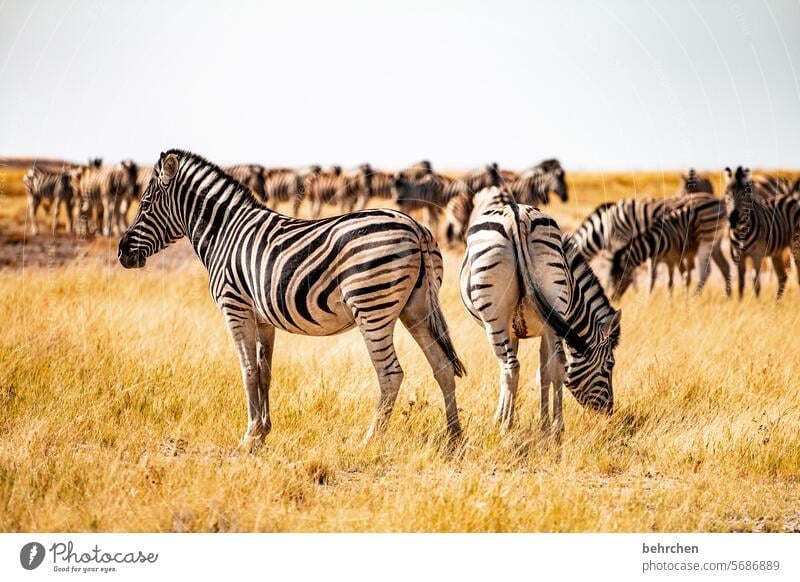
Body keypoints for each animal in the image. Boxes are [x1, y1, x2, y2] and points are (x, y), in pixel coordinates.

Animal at [119, 149, 468, 448]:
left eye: (145, 205)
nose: (122, 253)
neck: (224, 234)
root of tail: (416, 227)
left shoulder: (235, 308)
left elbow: (247, 371)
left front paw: (248, 437)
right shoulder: (262, 319)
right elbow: (264, 373)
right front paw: (262, 434)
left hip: (372, 307)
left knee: (391, 373)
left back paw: (370, 441)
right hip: (417, 308)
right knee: (441, 366)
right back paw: (453, 438)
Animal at [460, 186, 620, 434]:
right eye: (609, 365)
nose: (609, 410)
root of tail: (517, 218)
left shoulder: (516, 328)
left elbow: (511, 372)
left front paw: (502, 417)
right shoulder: (546, 327)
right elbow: (544, 373)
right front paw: (543, 422)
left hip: (495, 315)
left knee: (511, 367)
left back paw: (506, 427)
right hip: (551, 299)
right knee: (557, 364)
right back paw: (556, 427)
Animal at [724, 165, 800, 298]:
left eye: (745, 194)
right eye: (727, 193)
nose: (733, 218)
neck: (741, 231)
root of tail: (790, 197)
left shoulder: (757, 255)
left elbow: (756, 284)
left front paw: (757, 303)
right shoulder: (738, 256)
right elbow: (741, 284)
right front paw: (739, 302)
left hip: (795, 244)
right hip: (777, 252)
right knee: (783, 277)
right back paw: (776, 302)